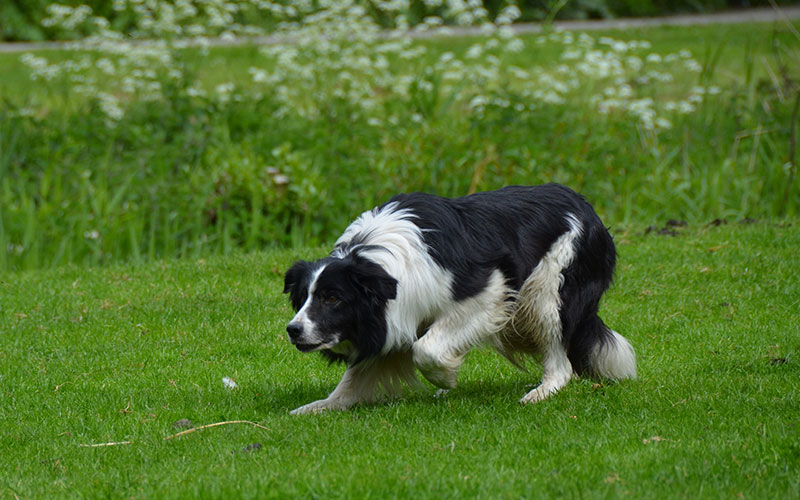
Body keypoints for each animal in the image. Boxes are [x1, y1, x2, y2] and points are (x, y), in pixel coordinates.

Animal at [284, 184, 636, 414]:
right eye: (304, 298)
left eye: (332, 298)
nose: (293, 330)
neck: (378, 263)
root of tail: (587, 207)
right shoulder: (391, 318)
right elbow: (357, 374)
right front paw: (321, 406)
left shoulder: (489, 290)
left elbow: (424, 348)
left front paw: (445, 378)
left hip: (545, 293)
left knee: (562, 363)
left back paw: (540, 392)